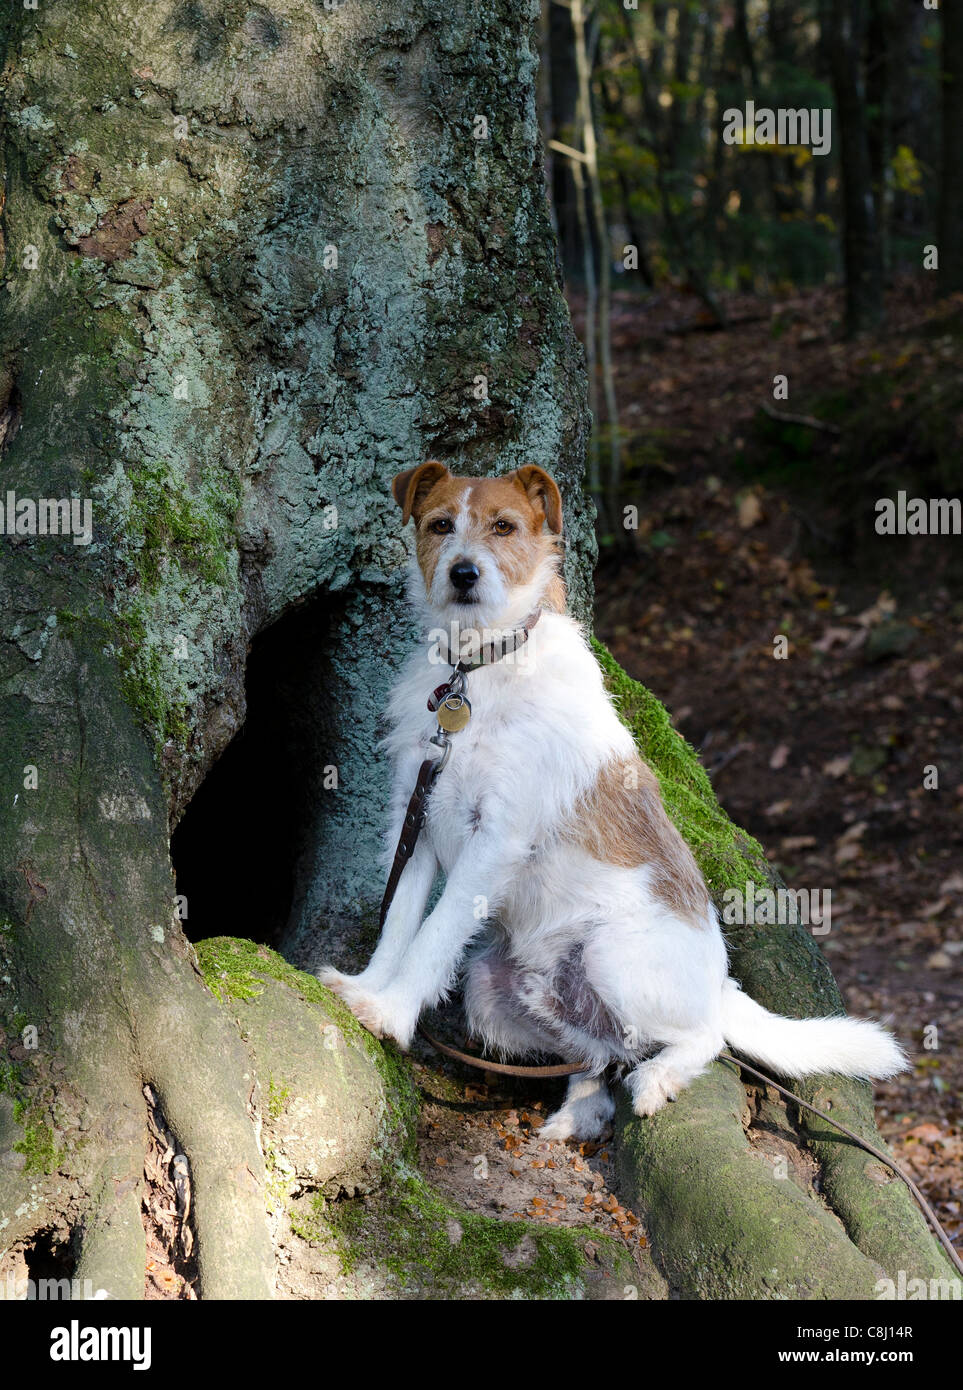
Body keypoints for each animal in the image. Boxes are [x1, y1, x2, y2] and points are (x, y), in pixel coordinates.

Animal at [319, 467, 906, 1139]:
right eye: (440, 524)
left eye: (504, 527)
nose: (463, 573)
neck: (479, 670)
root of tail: (720, 983)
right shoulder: (414, 819)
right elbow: (399, 921)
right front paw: (366, 988)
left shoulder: (495, 841)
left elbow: (434, 934)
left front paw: (391, 1012)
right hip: (494, 988)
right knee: (602, 1050)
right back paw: (582, 1109)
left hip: (610, 958)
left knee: (703, 1040)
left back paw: (656, 1082)